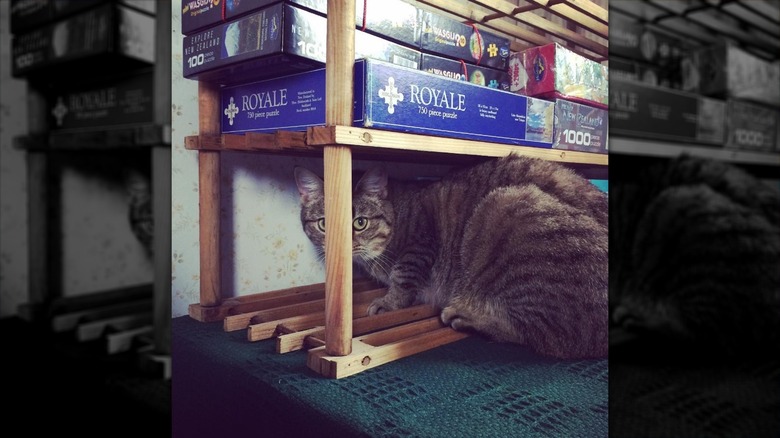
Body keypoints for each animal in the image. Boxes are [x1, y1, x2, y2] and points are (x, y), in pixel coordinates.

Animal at [296, 154, 608, 360]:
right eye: (324, 223)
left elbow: (402, 276)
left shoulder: (421, 241)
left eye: (360, 222)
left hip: (507, 206)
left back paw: (466, 316)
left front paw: (389, 302)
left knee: (543, 336)